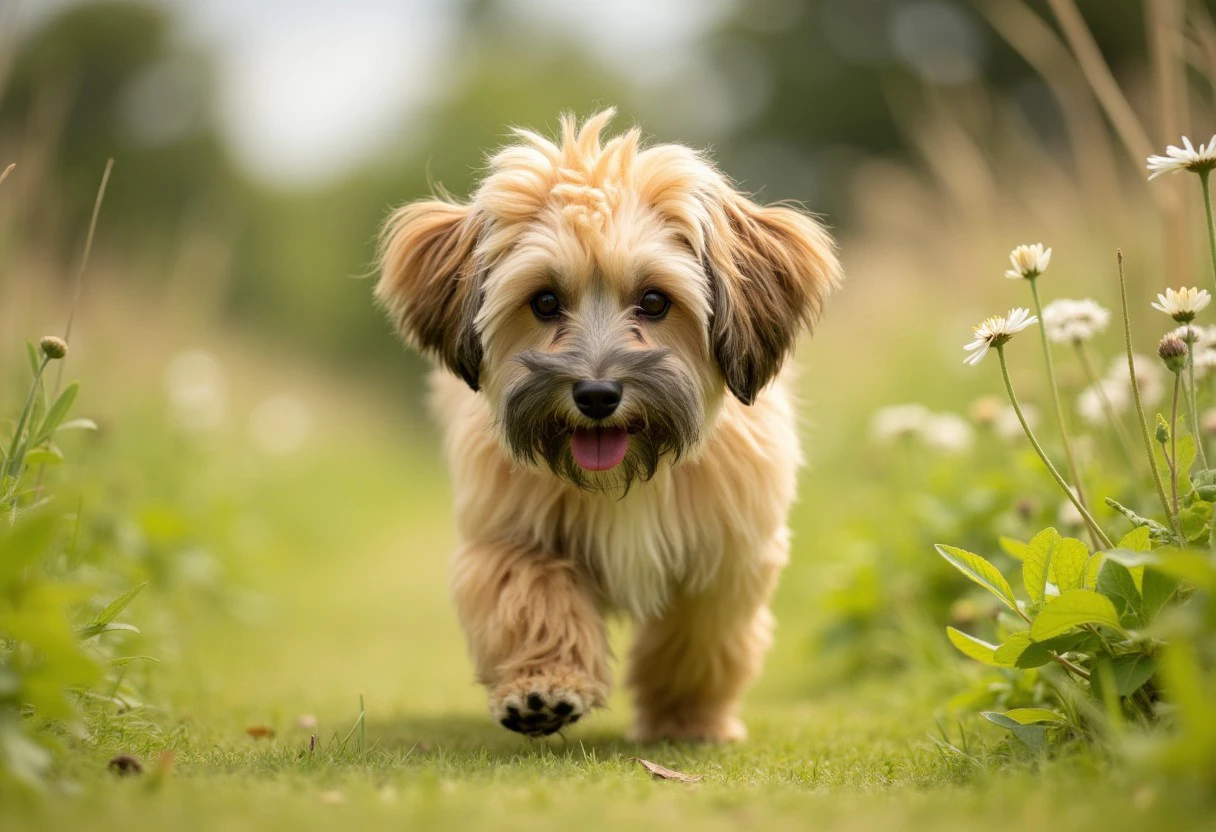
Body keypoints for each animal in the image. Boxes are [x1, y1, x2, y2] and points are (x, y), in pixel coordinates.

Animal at [374, 110, 841, 739]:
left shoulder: (725, 556)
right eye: (545, 302)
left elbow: (695, 639)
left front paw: (684, 718)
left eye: (655, 300)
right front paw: (543, 687)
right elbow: (531, 596)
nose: (597, 395)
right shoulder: (508, 532)